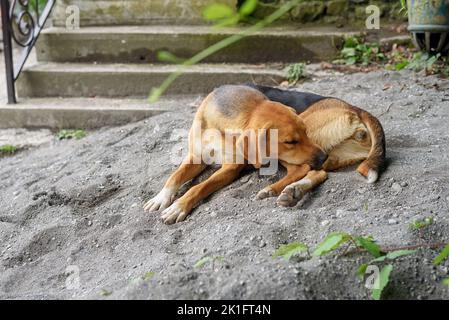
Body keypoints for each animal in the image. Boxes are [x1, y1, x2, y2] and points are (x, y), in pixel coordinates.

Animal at [144, 83, 384, 222]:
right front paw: (161, 198)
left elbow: (200, 187)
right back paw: (293, 191)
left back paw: (276, 189)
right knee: (317, 172)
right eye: (291, 141)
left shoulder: (231, 167)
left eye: (304, 133)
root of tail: (355, 109)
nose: (322, 156)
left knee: (306, 169)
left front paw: (179, 206)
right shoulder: (196, 156)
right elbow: (174, 176)